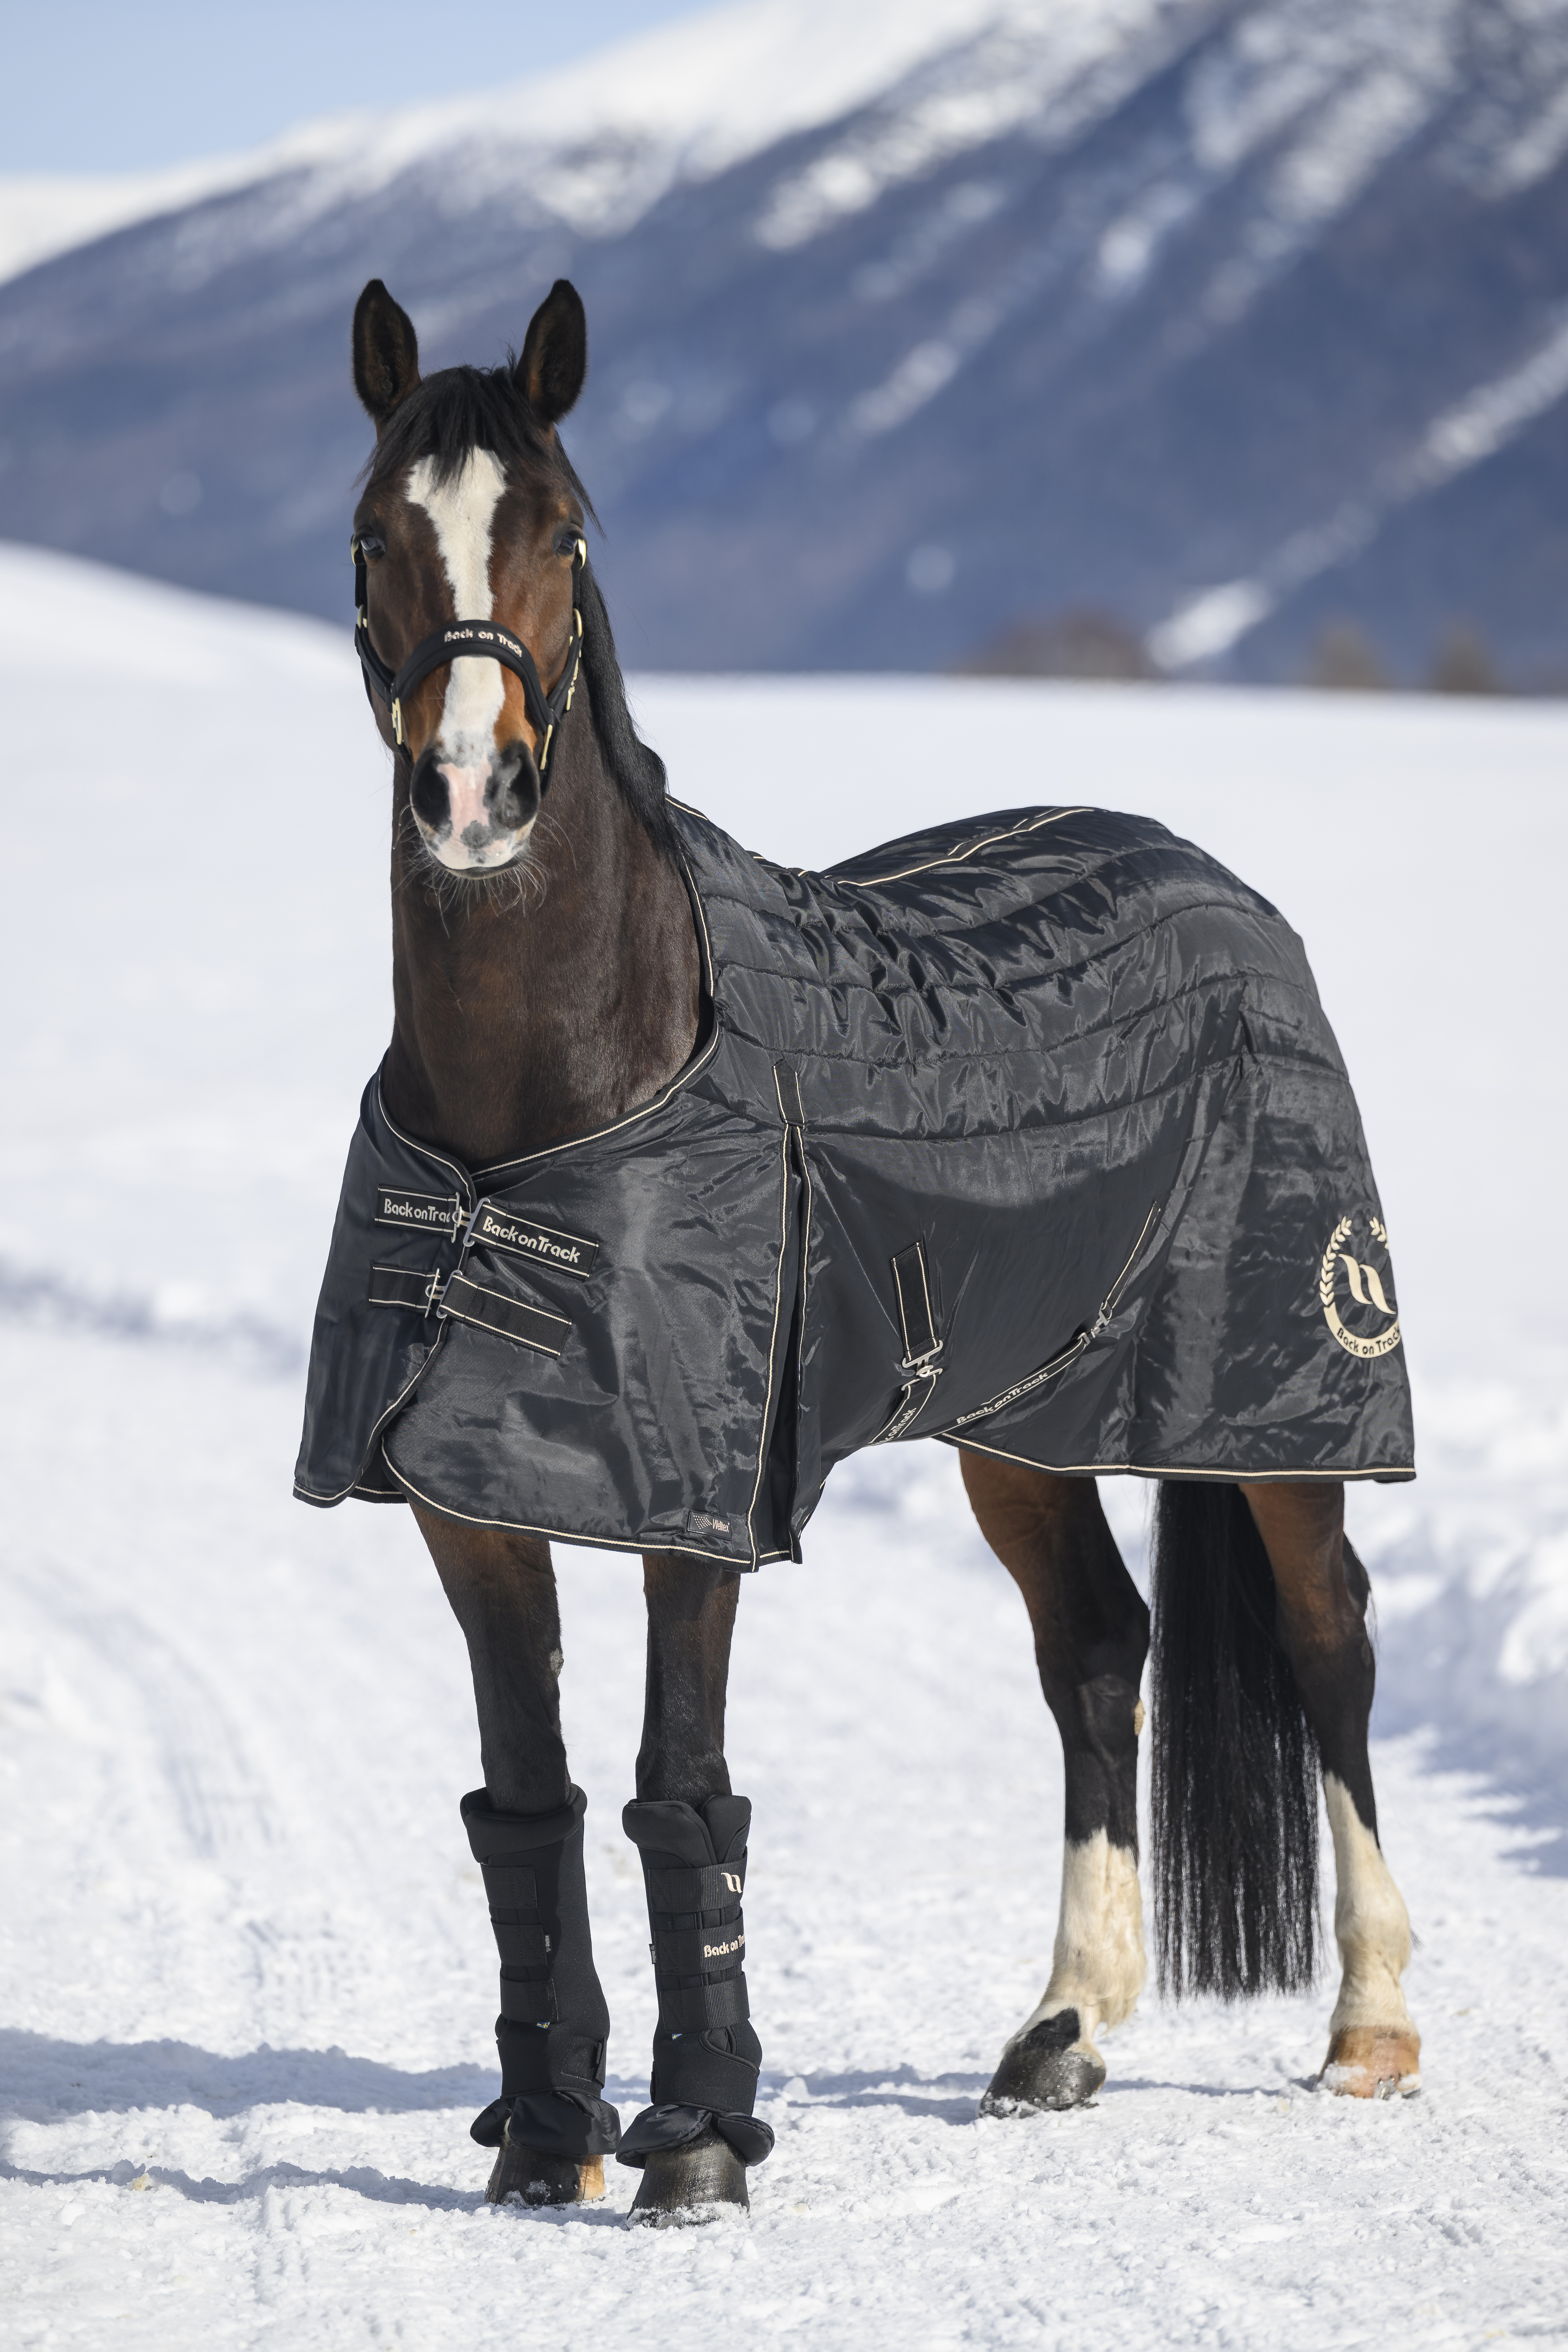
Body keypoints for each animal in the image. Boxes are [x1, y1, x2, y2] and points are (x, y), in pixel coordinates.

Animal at [296, 273, 1422, 2224]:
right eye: (376, 533)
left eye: (564, 530)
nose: (472, 793)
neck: (553, 1094)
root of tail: (1214, 879)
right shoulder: (464, 1491)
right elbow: (526, 1792)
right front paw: (544, 2128)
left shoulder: (697, 1501)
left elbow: (681, 1780)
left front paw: (695, 2137)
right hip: (1020, 1419)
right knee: (1095, 1646)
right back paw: (1063, 2027)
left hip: (1282, 1393)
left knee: (1325, 1636)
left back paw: (1365, 2021)